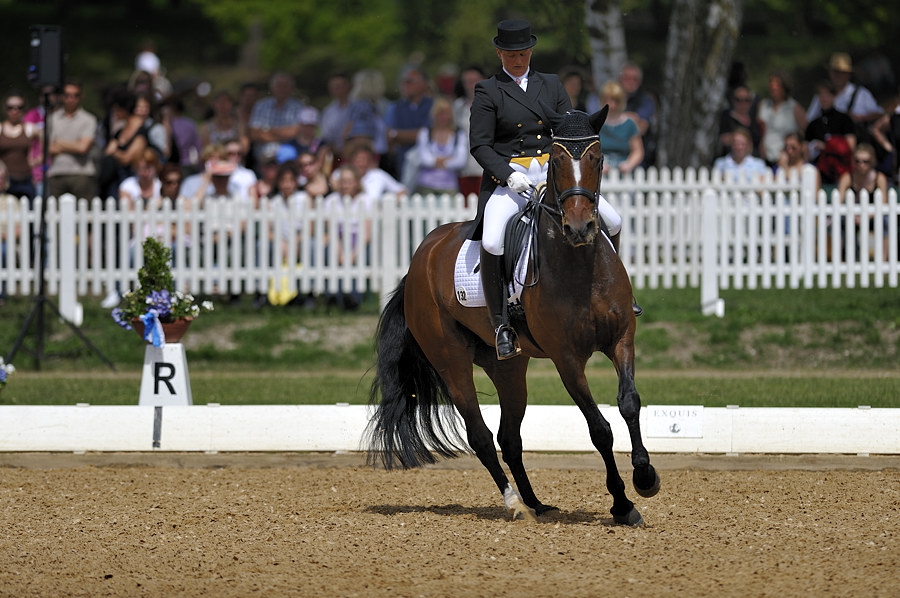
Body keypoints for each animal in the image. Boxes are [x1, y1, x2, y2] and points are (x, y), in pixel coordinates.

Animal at [365, 107, 660, 525]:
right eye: (556, 162)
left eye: (597, 159)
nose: (580, 228)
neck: (580, 265)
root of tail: (420, 257)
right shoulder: (567, 360)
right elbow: (599, 428)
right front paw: (622, 503)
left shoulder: (621, 339)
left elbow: (630, 403)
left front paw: (645, 477)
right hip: (451, 361)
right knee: (481, 436)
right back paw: (515, 503)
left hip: (508, 366)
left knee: (509, 436)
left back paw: (535, 503)